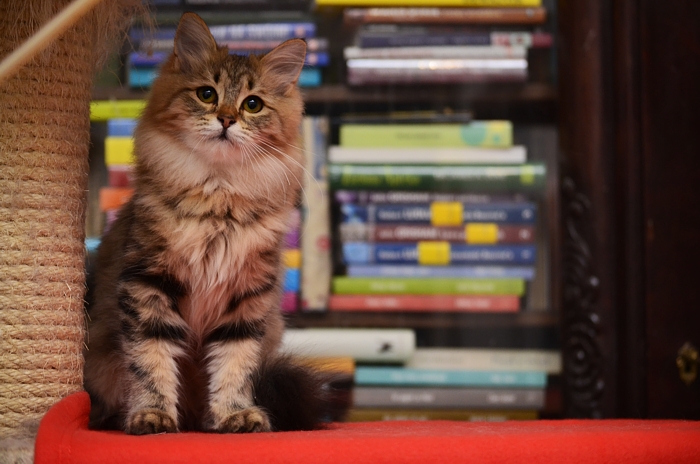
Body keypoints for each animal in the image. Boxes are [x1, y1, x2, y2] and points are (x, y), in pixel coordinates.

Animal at [83, 12, 329, 435]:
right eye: (207, 95)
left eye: (253, 104)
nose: (227, 119)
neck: (219, 200)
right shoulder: (148, 284)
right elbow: (150, 361)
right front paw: (153, 415)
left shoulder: (247, 296)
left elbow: (235, 365)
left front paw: (235, 414)